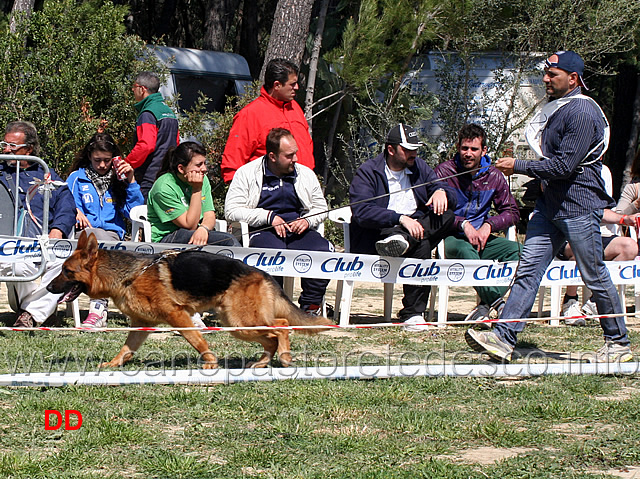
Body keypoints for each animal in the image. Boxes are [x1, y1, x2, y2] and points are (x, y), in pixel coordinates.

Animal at [47, 231, 332, 370]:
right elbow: (126, 349)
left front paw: (210, 362)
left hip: (241, 322)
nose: (49, 287)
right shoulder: (141, 325)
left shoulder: (177, 316)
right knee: (271, 336)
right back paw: (263, 362)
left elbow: (197, 340)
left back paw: (284, 357)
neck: (129, 275)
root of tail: (263, 273)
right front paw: (113, 365)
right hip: (236, 325)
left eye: (67, 271)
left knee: (282, 325)